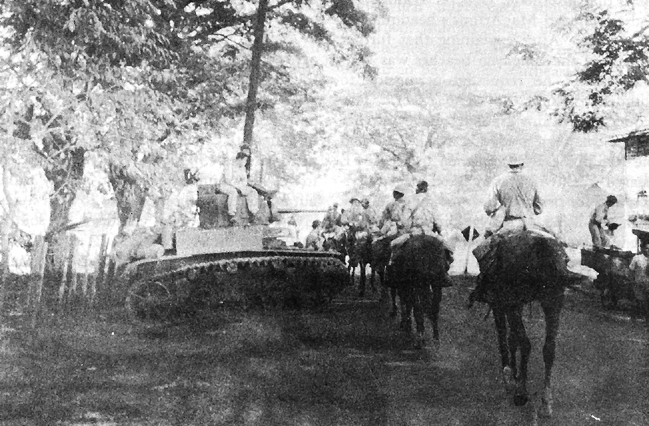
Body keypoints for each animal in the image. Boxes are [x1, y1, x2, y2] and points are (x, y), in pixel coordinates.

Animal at [470, 231, 572, 418]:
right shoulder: (516, 304)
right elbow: (514, 339)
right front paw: (514, 374)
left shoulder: (502, 303)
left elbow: (506, 337)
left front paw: (510, 377)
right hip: (552, 301)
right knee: (549, 349)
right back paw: (545, 402)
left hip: (516, 303)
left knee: (523, 342)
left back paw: (521, 392)